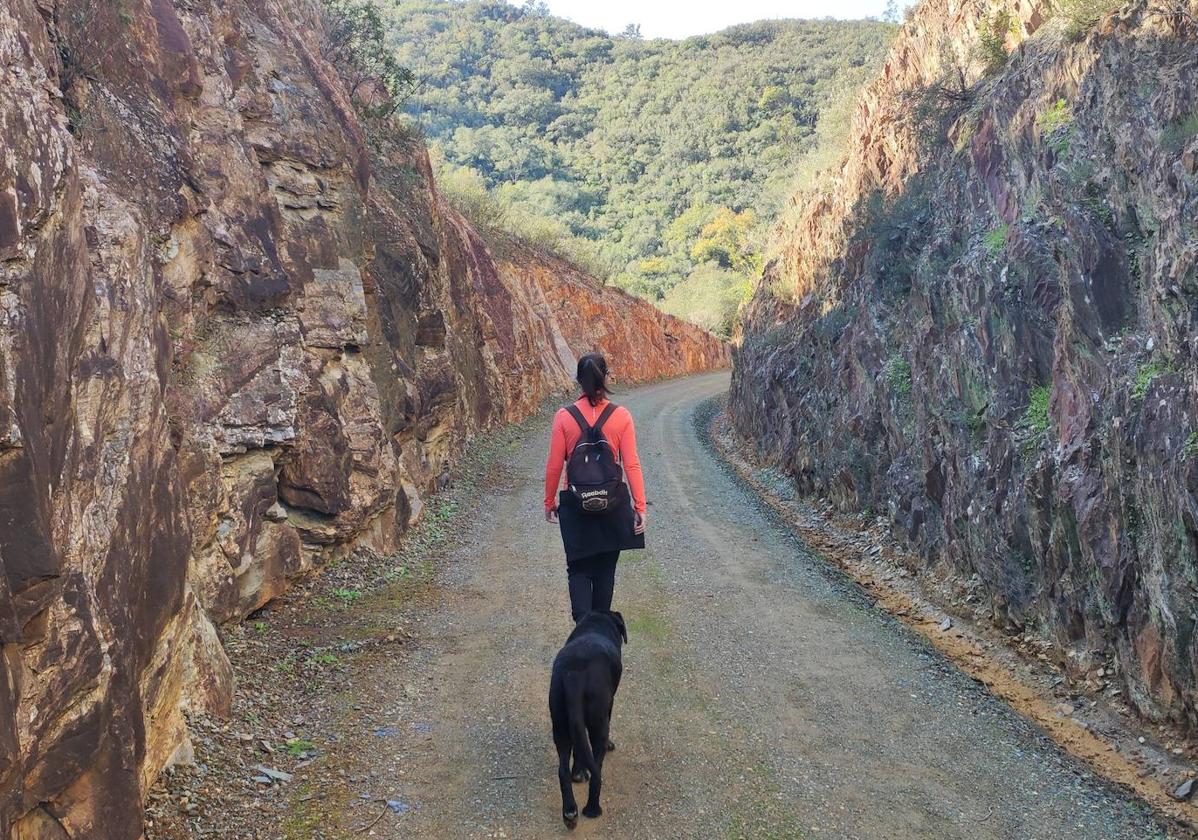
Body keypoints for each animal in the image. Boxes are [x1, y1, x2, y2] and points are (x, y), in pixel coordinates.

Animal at [548, 608, 627, 824]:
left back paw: (570, 813)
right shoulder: (609, 704)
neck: (596, 624)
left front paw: (579, 772)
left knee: (563, 770)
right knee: (597, 769)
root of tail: (574, 674)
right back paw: (592, 809)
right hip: (598, 724)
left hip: (560, 724)